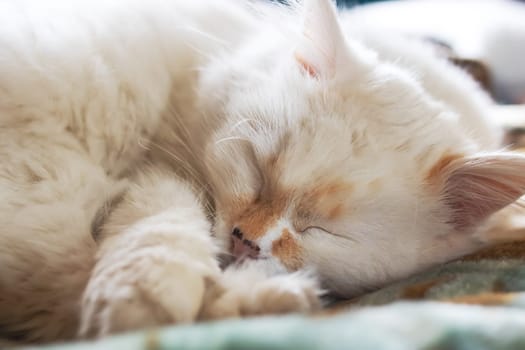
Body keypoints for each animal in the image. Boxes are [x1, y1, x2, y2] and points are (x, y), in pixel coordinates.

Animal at [1, 0, 524, 344]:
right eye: (257, 171)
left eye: (322, 231)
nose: (244, 242)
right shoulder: (165, 171)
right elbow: (161, 233)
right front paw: (148, 297)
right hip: (51, 183)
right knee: (63, 290)